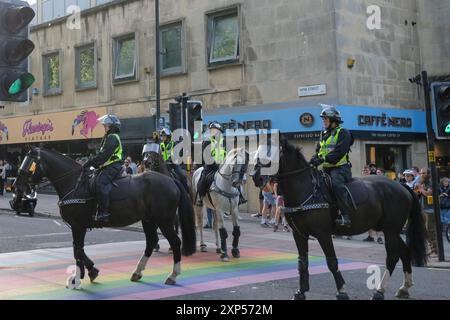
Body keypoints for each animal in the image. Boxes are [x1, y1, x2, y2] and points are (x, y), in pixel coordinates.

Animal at [14, 148, 195, 290]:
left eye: (29, 163)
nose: (16, 185)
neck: (74, 184)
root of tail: (171, 180)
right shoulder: (78, 226)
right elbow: (78, 249)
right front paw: (91, 271)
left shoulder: (78, 225)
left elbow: (77, 250)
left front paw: (77, 278)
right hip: (148, 220)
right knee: (151, 242)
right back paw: (137, 272)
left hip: (164, 220)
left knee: (175, 242)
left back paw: (173, 275)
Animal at [251, 140, 428, 300]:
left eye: (271, 155)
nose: (255, 177)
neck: (306, 188)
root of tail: (401, 186)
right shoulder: (299, 234)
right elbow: (302, 262)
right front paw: (301, 292)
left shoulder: (323, 234)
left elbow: (332, 262)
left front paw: (341, 291)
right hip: (390, 229)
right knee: (405, 252)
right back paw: (404, 288)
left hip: (391, 230)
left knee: (392, 257)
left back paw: (379, 291)